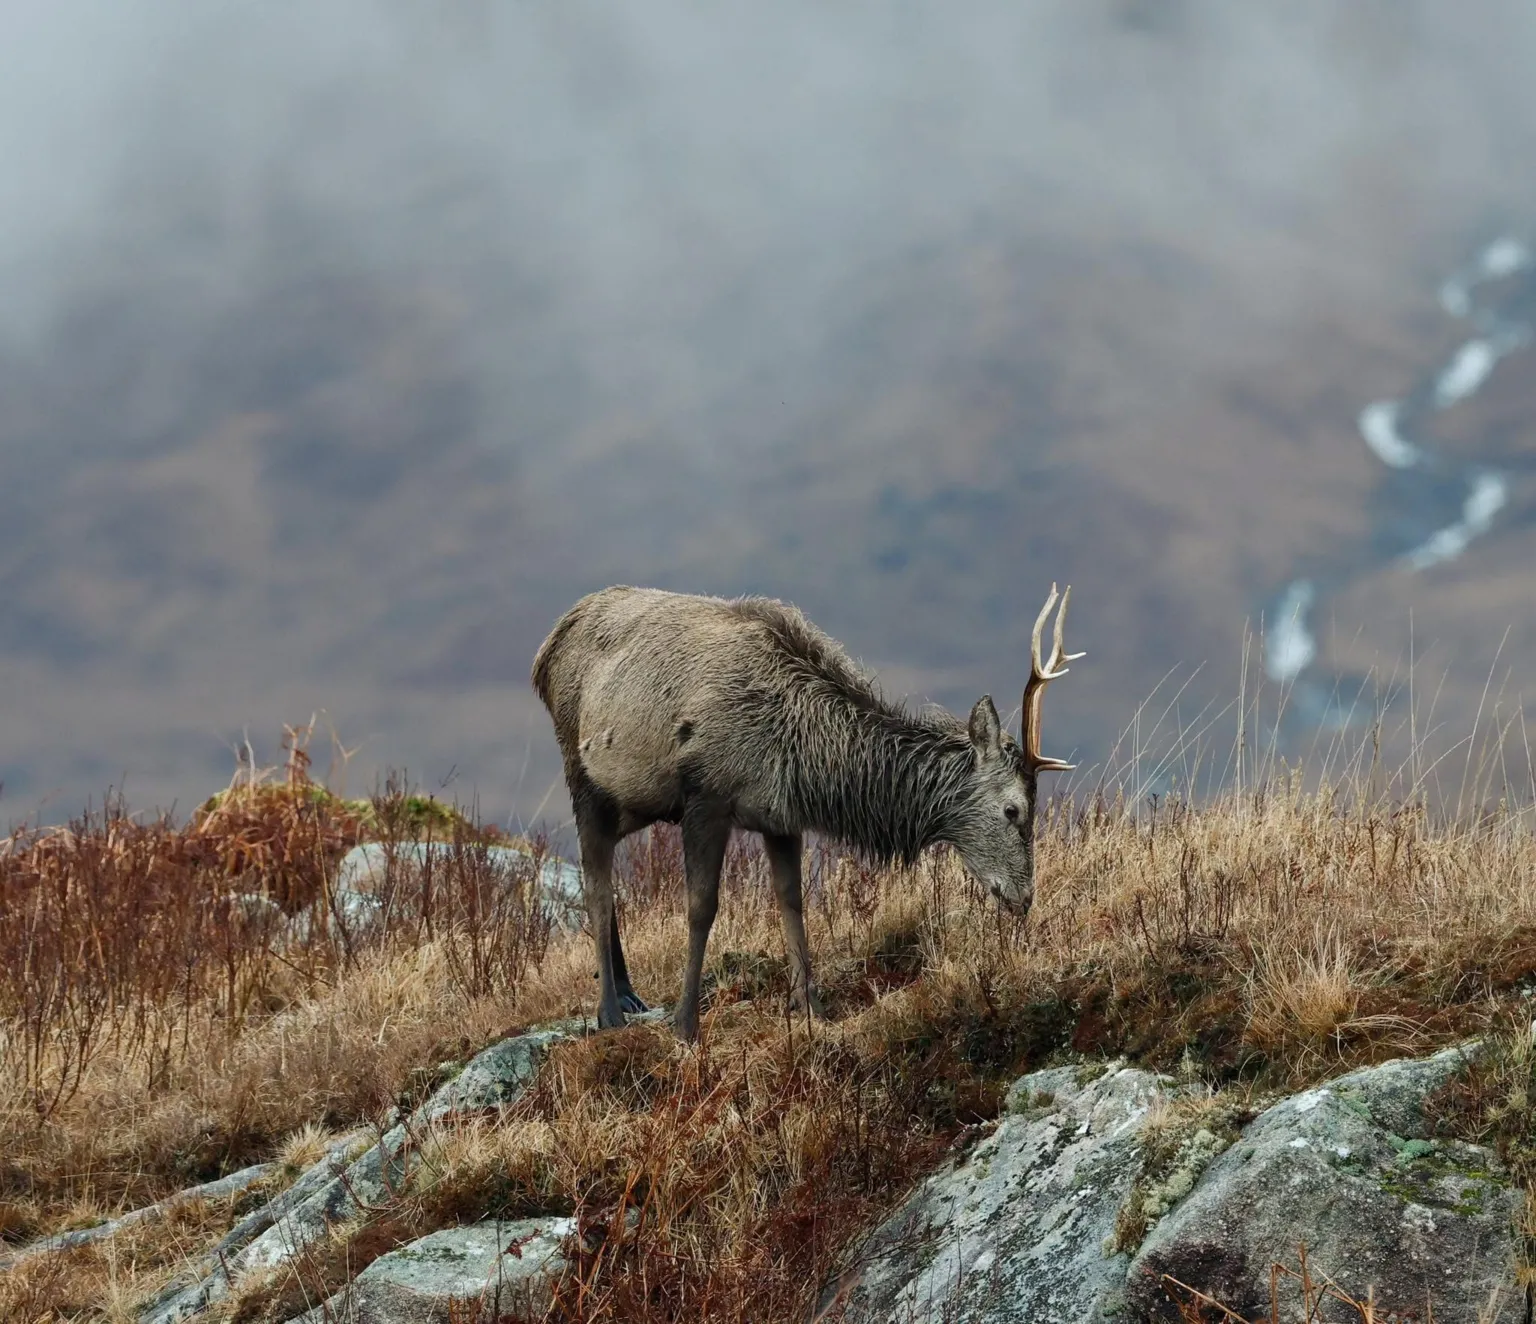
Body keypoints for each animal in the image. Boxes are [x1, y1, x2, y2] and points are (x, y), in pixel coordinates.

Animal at [530, 583, 1082, 1041]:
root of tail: (546, 649)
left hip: (634, 799)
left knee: (605, 875)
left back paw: (627, 991)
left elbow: (792, 903)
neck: (805, 759)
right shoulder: (705, 796)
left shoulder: (781, 817)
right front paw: (686, 1024)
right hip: (581, 771)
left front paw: (810, 1005)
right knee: (596, 885)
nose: (1024, 897)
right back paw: (609, 1011)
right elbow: (701, 907)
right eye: (1013, 810)